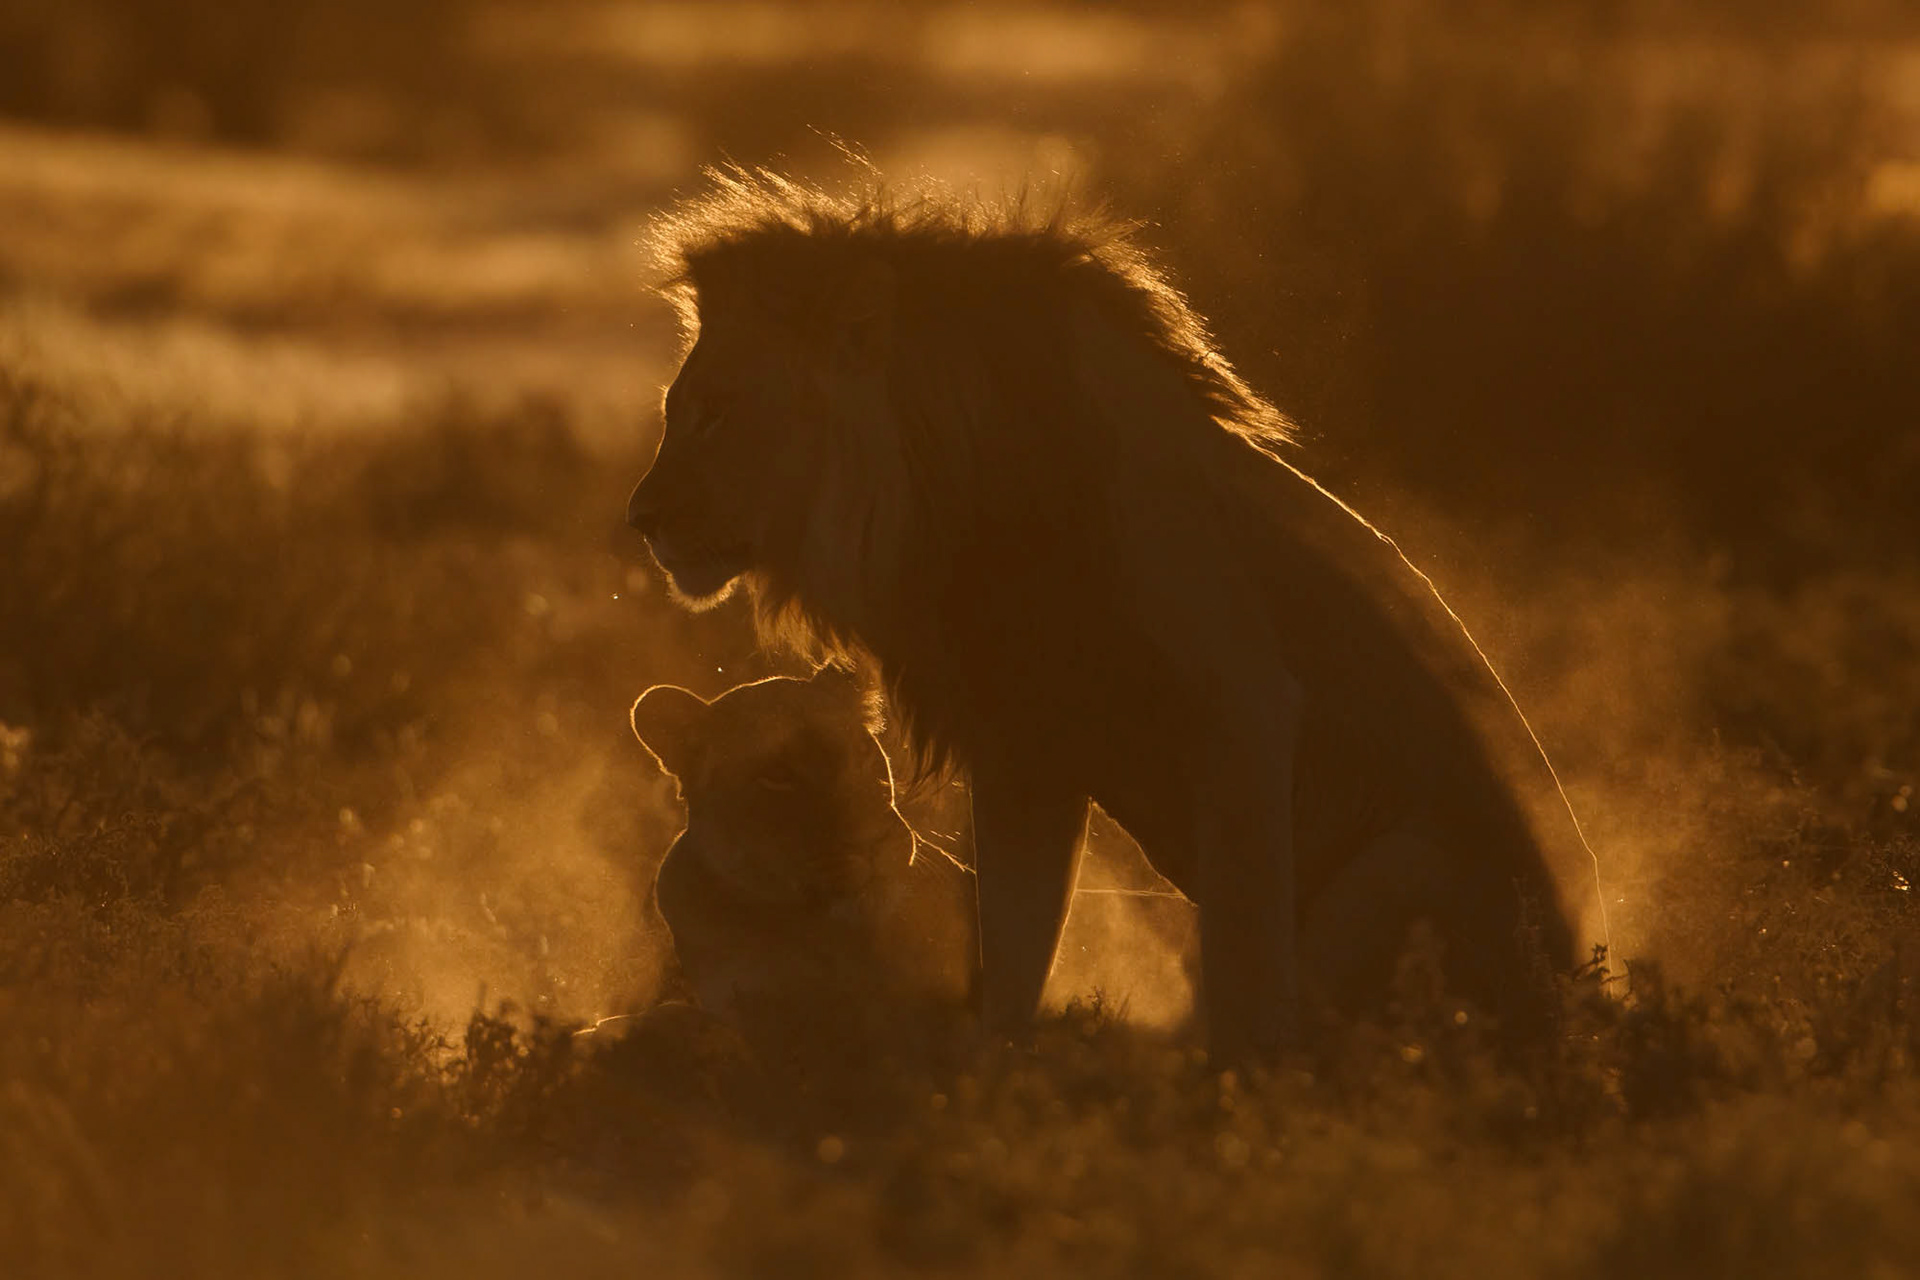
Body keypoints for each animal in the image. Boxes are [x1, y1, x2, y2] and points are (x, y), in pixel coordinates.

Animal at [625, 170, 1602, 1059]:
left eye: (711, 413)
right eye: (678, 411)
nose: (641, 517)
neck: (933, 496)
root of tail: (1593, 990)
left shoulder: (1240, 697)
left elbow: (1244, 947)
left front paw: (1244, 1083)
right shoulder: (1021, 738)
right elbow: (1012, 939)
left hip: (1401, 867)